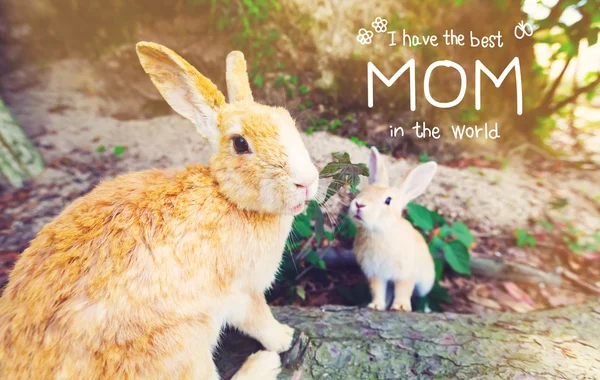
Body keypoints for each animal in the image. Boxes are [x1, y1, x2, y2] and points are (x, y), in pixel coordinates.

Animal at [0, 42, 318, 380]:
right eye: (241, 143)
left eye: (288, 121)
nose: (307, 181)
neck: (227, 196)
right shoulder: (241, 292)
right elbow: (258, 319)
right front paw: (284, 338)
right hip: (180, 343)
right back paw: (263, 364)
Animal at [346, 147, 436, 310]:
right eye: (364, 191)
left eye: (388, 200)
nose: (359, 204)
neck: (380, 231)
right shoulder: (376, 274)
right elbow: (377, 290)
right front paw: (375, 306)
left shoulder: (405, 275)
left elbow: (403, 290)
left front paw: (400, 307)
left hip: (424, 284)